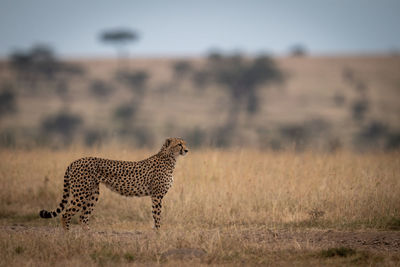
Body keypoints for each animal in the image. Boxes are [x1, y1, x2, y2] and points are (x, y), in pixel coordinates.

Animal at [39, 138, 190, 230]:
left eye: (185, 143)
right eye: (179, 144)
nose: (187, 150)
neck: (170, 158)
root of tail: (76, 161)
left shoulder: (155, 196)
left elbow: (156, 216)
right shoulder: (157, 196)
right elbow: (157, 216)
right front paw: (158, 234)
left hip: (93, 193)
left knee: (83, 217)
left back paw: (89, 239)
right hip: (81, 193)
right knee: (66, 215)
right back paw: (69, 237)